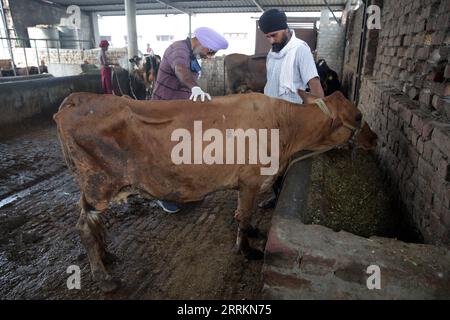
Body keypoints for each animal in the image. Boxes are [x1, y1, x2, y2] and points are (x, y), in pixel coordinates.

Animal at [52, 89, 376, 292]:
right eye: (359, 117)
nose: (374, 139)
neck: (285, 127)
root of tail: (75, 100)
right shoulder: (251, 180)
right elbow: (244, 217)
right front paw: (246, 249)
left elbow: (242, 215)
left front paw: (253, 234)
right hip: (98, 185)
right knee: (84, 227)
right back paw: (104, 277)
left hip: (91, 189)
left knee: (92, 224)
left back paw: (107, 256)